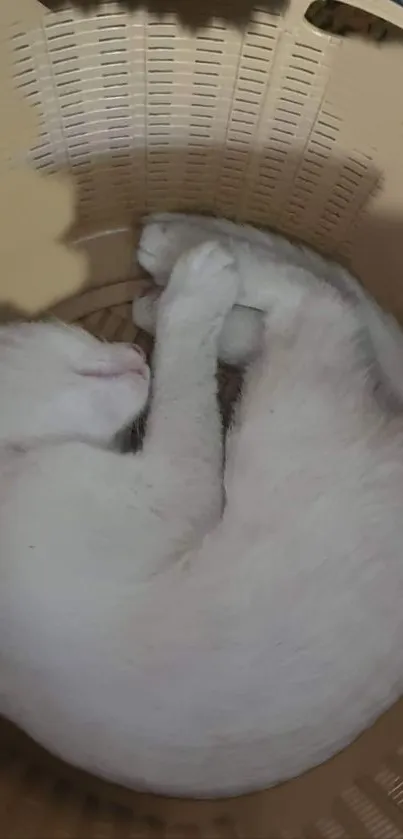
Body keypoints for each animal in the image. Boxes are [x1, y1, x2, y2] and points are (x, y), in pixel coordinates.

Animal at [0, 240, 403, 796]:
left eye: (69, 337)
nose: (134, 356)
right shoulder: (169, 488)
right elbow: (181, 383)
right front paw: (193, 296)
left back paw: (169, 275)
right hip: (275, 416)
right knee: (321, 304)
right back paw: (192, 268)